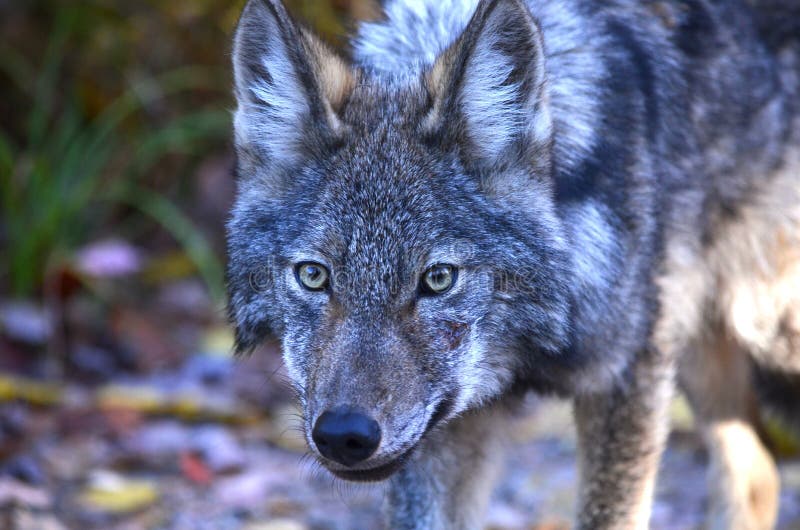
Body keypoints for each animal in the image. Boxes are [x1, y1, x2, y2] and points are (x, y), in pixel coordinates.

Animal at [225, 0, 800, 527]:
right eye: (313, 275)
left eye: (438, 279)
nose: (344, 435)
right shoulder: (452, 431)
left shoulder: (626, 380)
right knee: (759, 476)